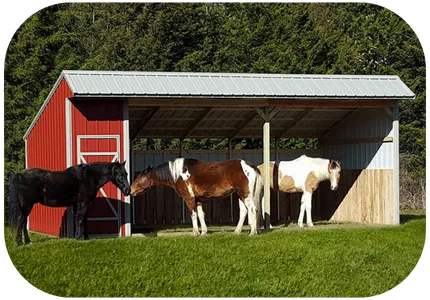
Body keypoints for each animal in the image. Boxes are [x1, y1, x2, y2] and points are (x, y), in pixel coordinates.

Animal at [129, 158, 262, 236]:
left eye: (140, 177)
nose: (130, 190)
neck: (179, 174)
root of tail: (250, 166)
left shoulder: (189, 199)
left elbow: (193, 215)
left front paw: (195, 232)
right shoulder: (197, 199)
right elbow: (201, 215)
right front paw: (204, 232)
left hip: (245, 195)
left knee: (252, 210)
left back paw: (252, 232)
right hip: (240, 195)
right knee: (244, 211)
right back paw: (237, 232)